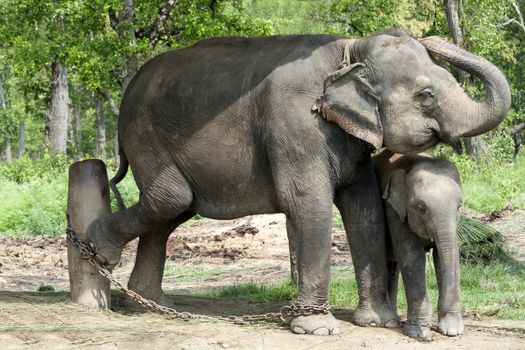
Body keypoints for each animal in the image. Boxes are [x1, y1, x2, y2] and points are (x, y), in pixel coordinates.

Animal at [372, 150, 462, 340]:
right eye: (421, 208)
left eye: (459, 206)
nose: (441, 307)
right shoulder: (394, 209)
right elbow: (412, 255)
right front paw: (417, 333)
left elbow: (448, 257)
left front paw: (452, 331)